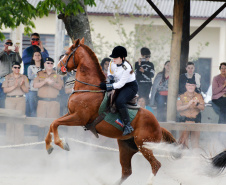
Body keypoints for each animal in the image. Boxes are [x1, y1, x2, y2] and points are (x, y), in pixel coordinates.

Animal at [45, 38, 177, 184]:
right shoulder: (70, 114)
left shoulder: (79, 118)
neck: (89, 88)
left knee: (156, 165)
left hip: (144, 146)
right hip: (126, 146)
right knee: (127, 171)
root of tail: (159, 126)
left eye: (67, 53)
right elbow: (52, 124)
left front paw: (62, 144)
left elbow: (55, 124)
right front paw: (49, 147)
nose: (57, 68)